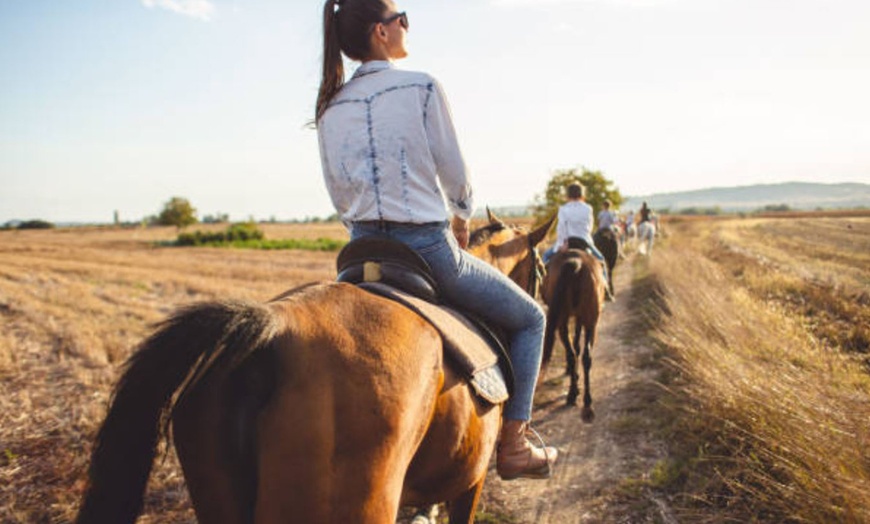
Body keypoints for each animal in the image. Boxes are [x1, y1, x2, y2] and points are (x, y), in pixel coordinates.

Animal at [544, 249, 608, 422]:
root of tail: (576, 262)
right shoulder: (580, 319)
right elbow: (577, 345)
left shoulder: (578, 318)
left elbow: (576, 346)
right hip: (590, 321)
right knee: (583, 355)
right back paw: (583, 401)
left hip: (568, 319)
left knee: (575, 354)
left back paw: (578, 397)